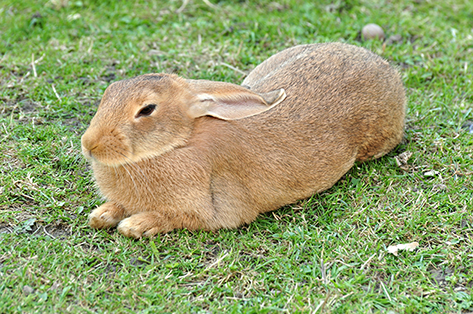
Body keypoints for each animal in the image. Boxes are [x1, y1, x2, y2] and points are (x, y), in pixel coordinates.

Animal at [82, 41, 406, 238]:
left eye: (147, 109)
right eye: (109, 91)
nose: (89, 145)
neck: (178, 143)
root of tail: (385, 67)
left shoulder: (211, 212)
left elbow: (174, 218)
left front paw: (135, 225)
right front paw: (101, 215)